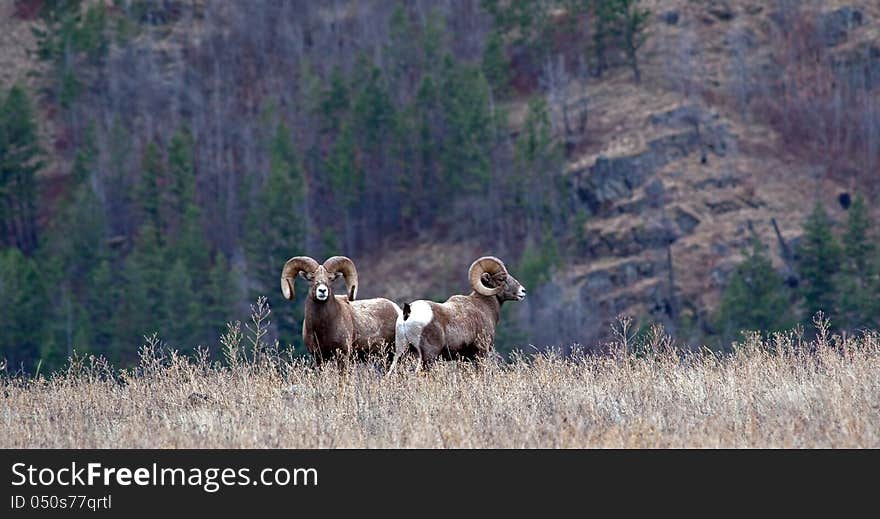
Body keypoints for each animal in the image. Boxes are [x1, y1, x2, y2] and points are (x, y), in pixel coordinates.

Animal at [388, 256, 524, 374]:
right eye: (501, 279)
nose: (522, 291)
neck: (483, 306)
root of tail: (408, 311)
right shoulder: (481, 352)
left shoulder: (463, 358)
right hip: (428, 356)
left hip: (402, 352)